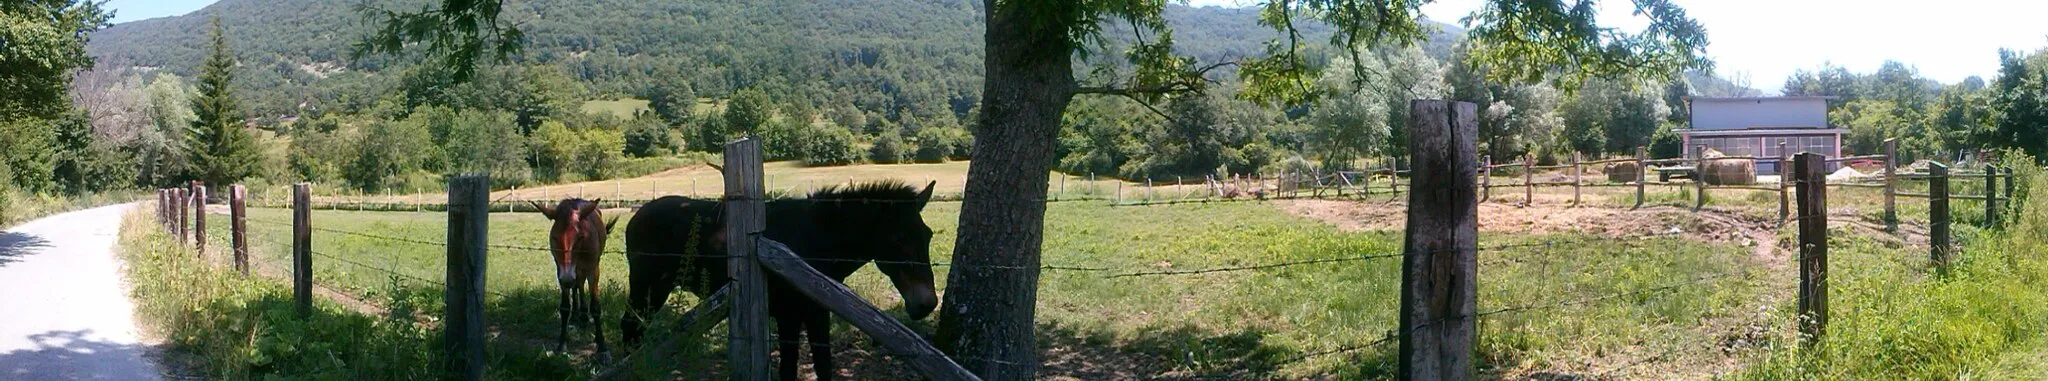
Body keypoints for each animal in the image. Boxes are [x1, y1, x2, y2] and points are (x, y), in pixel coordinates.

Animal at [528, 199, 614, 362]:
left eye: (580, 237)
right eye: (554, 237)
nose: (567, 279)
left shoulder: (593, 270)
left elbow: (595, 307)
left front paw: (602, 347)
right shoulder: (560, 271)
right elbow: (565, 307)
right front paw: (561, 345)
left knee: (579, 284)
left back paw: (583, 317)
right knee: (577, 286)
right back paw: (578, 316)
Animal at [622, 180, 942, 378]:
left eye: (927, 236)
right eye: (897, 239)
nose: (926, 304)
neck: (814, 240)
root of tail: (637, 215)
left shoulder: (817, 312)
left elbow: (823, 365)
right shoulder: (789, 316)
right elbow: (789, 368)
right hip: (647, 286)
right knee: (631, 327)